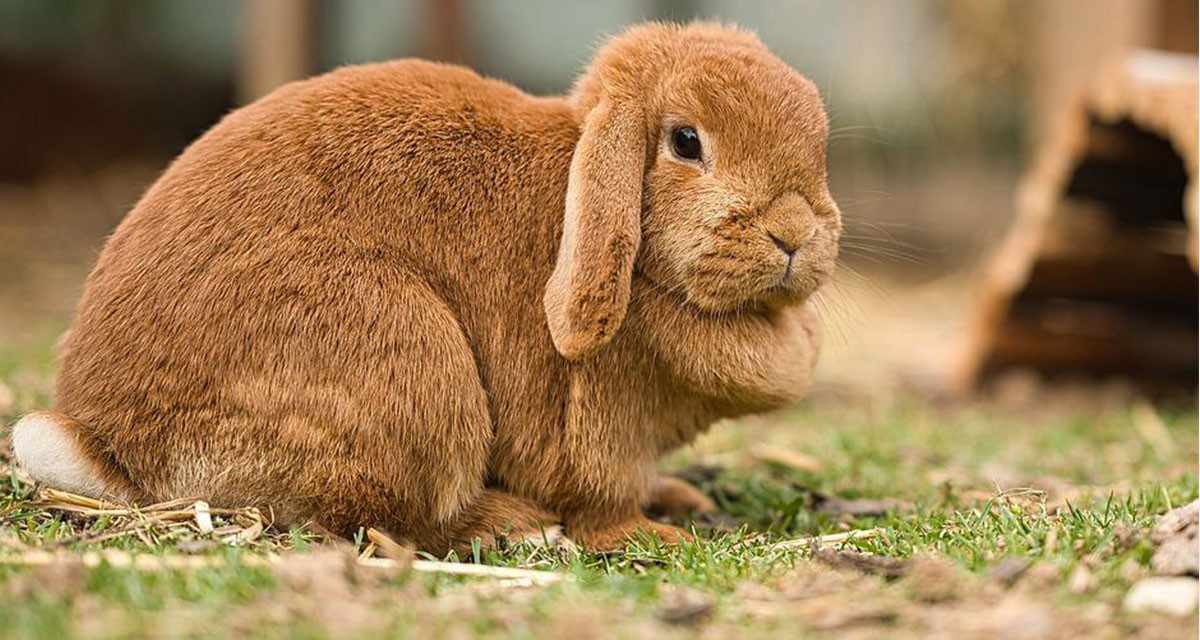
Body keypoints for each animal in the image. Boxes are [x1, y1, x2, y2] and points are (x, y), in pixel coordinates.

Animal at [12, 21, 839, 554]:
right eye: (686, 142)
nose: (794, 234)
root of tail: (109, 448)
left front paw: (679, 499)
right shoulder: (595, 429)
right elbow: (599, 498)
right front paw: (648, 534)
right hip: (410, 368)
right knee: (389, 522)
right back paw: (512, 525)